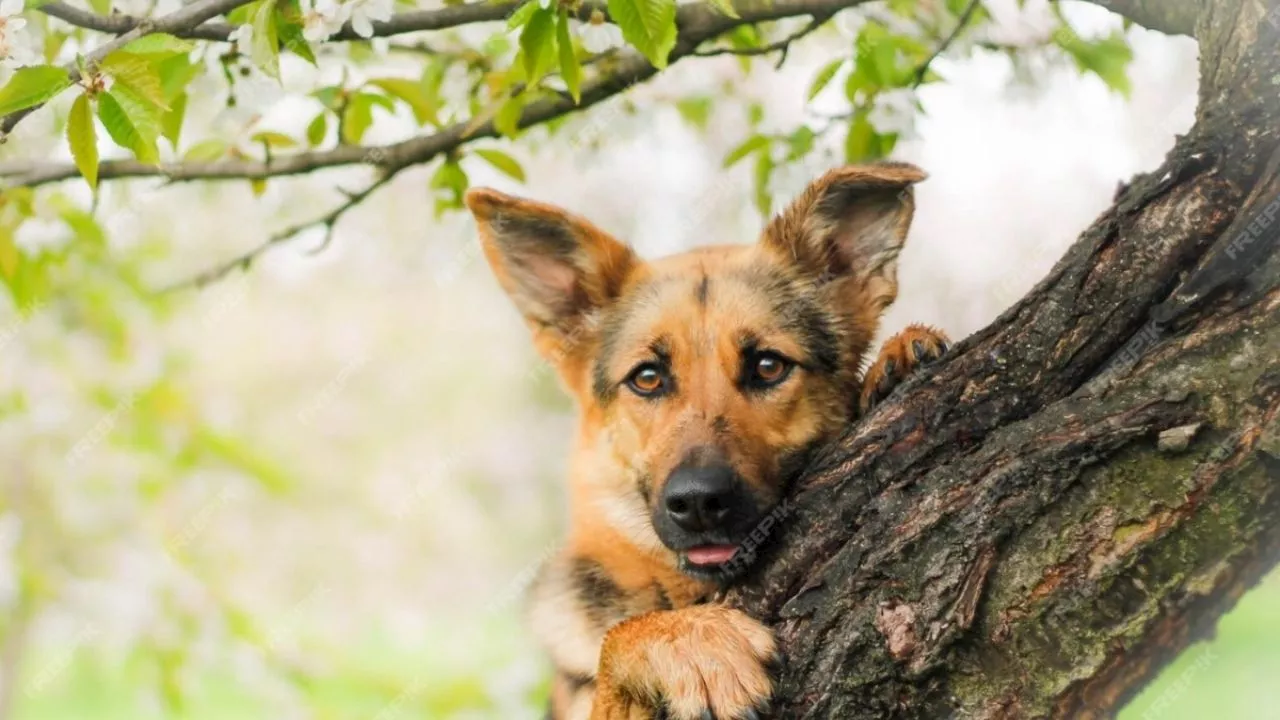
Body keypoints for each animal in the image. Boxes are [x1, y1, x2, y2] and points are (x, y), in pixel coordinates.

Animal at [465, 162, 947, 717]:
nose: (697, 503)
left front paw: (898, 355)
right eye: (647, 378)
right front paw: (688, 641)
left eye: (768, 366)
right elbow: (617, 639)